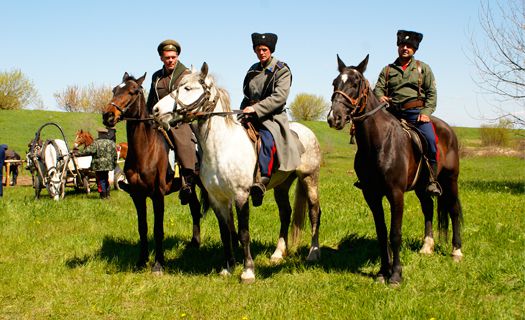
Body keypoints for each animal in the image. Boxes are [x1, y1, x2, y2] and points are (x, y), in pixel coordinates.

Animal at [101, 72, 202, 272]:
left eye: (132, 91)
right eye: (115, 90)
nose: (108, 115)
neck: (146, 149)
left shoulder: (157, 195)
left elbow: (157, 229)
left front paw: (158, 264)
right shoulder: (138, 196)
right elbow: (143, 228)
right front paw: (141, 261)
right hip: (191, 187)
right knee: (195, 209)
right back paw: (194, 243)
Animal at [151, 62, 322, 282]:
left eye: (188, 88)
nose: (155, 110)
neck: (221, 147)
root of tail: (305, 130)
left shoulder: (241, 195)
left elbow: (243, 233)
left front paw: (248, 271)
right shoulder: (218, 199)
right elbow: (226, 233)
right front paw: (229, 267)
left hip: (310, 178)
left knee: (314, 212)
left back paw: (313, 252)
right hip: (282, 185)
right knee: (285, 213)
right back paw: (277, 253)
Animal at [328, 53, 462, 284]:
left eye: (355, 83)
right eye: (335, 83)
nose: (333, 117)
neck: (378, 143)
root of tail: (448, 130)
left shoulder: (395, 194)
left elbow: (395, 234)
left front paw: (396, 275)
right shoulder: (371, 195)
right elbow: (382, 233)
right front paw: (383, 271)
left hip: (450, 181)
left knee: (453, 210)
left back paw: (456, 252)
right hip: (422, 187)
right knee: (428, 207)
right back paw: (427, 247)